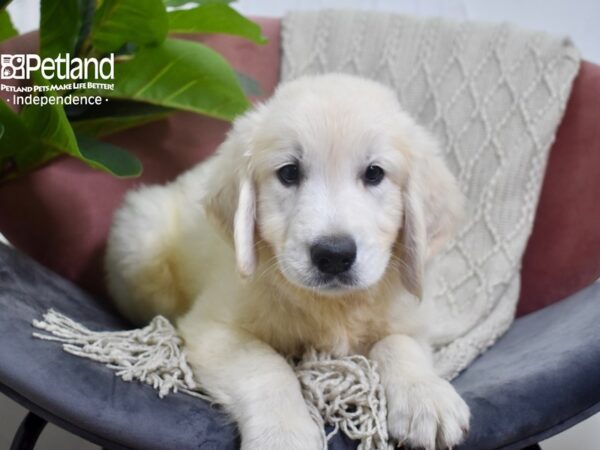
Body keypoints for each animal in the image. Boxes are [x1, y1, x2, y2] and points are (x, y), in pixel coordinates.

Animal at [105, 74, 472, 450]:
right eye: (289, 173)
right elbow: (267, 367)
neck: (332, 305)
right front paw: (284, 434)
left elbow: (399, 344)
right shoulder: (213, 327)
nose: (334, 255)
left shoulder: (409, 319)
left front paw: (426, 398)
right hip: (140, 243)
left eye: (374, 174)